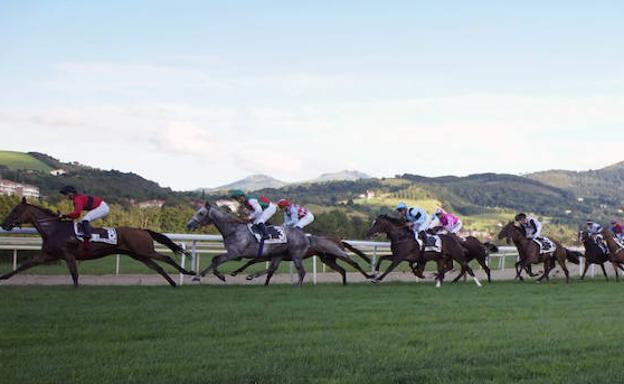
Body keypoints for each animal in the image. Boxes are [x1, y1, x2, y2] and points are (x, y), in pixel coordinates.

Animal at [0, 200, 194, 286]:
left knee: (167, 259)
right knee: (158, 267)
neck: (54, 229)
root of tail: (142, 230)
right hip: (138, 255)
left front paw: (76, 288)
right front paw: (3, 277)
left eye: (16, 211)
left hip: (144, 251)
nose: (4, 224)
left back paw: (188, 272)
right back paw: (173, 282)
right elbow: (24, 266)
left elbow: (74, 274)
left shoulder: (68, 254)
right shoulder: (47, 255)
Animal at [185, 201, 370, 284]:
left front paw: (205, 275)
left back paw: (371, 275)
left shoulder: (236, 253)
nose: (188, 225)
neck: (234, 230)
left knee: (352, 262)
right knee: (342, 269)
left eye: (200, 213)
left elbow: (216, 259)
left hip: (325, 254)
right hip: (326, 258)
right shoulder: (254, 255)